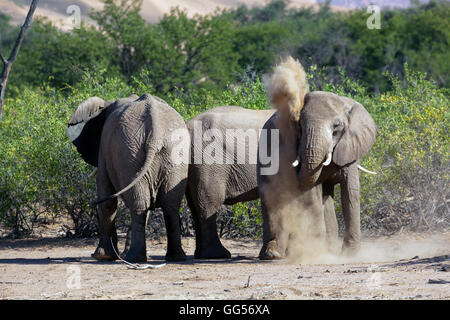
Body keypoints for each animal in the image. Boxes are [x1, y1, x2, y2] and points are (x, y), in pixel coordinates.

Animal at [66, 92, 189, 262]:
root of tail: (156, 131)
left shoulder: (104, 149)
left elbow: (106, 199)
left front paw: (102, 256)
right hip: (174, 155)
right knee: (168, 205)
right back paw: (174, 257)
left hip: (129, 153)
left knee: (140, 203)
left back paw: (133, 258)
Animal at [256, 57, 376, 262]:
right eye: (299, 127)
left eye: (337, 127)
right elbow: (313, 191)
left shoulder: (349, 147)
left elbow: (349, 191)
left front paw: (350, 254)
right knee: (270, 197)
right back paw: (274, 254)